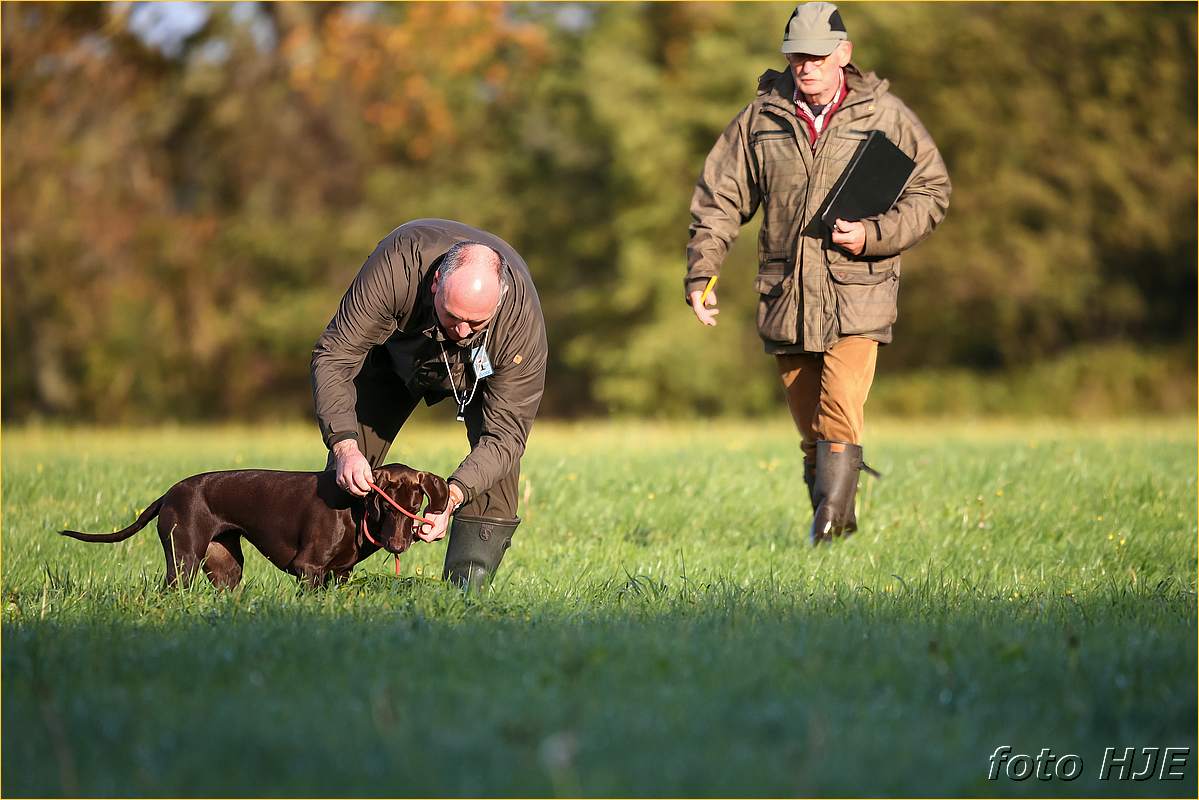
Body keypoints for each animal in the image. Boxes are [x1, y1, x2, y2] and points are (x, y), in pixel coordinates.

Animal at [60, 463, 449, 588]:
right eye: (384, 504)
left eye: (415, 507)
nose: (398, 545)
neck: (354, 511)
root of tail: (169, 494)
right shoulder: (308, 568)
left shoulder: (339, 574)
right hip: (182, 562)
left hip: (226, 567)